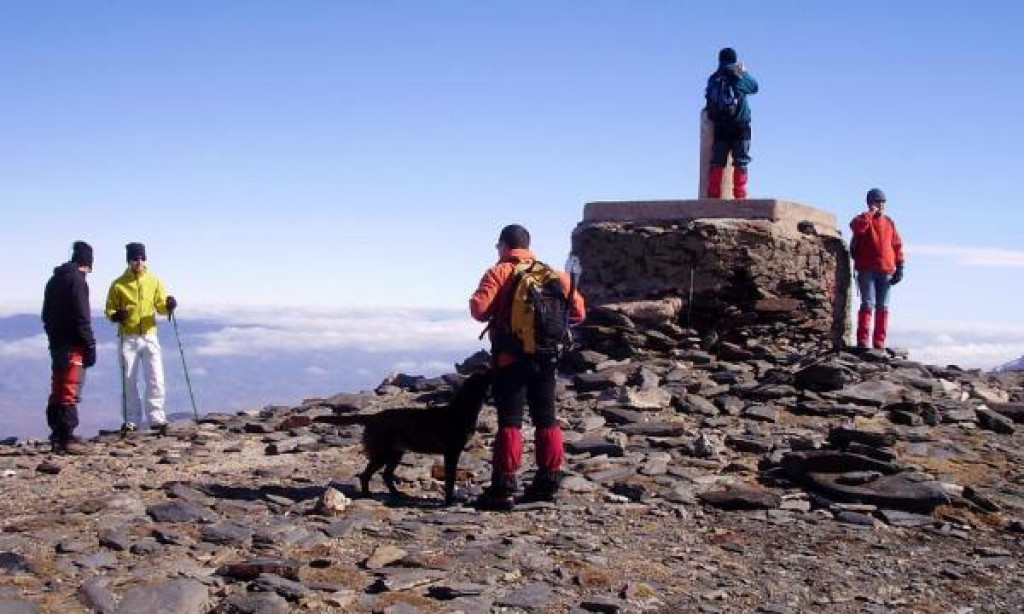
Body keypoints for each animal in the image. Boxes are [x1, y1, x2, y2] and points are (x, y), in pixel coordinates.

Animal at [315, 372, 491, 505]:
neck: (460, 411)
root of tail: (373, 417)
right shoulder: (452, 453)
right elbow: (450, 479)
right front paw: (449, 501)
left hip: (395, 453)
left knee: (386, 475)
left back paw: (397, 494)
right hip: (381, 453)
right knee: (366, 475)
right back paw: (367, 495)